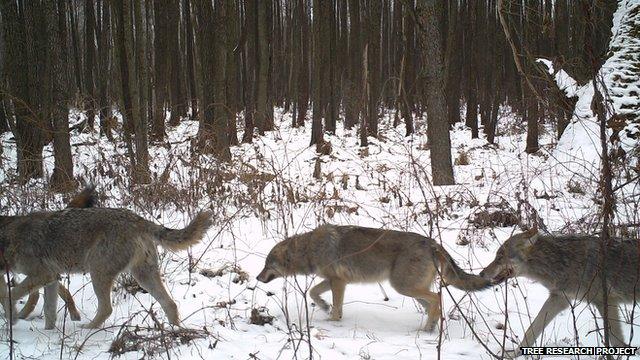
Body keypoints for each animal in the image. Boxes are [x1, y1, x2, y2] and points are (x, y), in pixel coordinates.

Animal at [0, 205, 215, 330]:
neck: (8, 237)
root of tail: (138, 218)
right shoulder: (52, 279)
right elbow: (49, 311)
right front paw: (49, 333)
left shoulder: (44, 274)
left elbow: (10, 294)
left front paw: (12, 318)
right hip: (143, 276)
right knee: (170, 304)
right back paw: (176, 332)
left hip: (98, 273)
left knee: (107, 308)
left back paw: (88, 328)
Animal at [255, 225, 490, 332]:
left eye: (267, 265)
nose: (257, 277)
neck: (309, 249)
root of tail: (433, 243)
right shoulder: (333, 280)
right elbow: (314, 292)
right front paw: (324, 306)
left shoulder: (338, 282)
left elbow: (336, 306)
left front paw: (333, 320)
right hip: (412, 291)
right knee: (435, 304)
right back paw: (431, 328)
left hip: (402, 287)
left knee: (438, 298)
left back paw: (427, 329)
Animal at [480, 229, 636, 356]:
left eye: (500, 257)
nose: (481, 274)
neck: (562, 262)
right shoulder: (559, 299)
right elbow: (531, 329)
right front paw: (515, 353)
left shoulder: (605, 300)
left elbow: (616, 340)